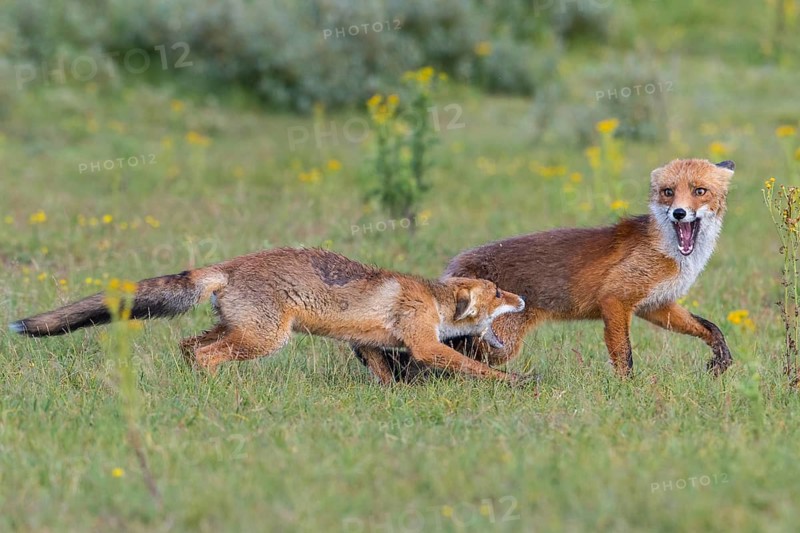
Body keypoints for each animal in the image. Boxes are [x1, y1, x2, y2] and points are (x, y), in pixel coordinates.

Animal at [9, 248, 527, 383]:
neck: (434, 301)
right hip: (265, 339)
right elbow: (475, 367)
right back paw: (214, 389)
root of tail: (230, 264)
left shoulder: (369, 341)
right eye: (499, 292)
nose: (523, 300)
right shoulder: (423, 343)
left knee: (189, 345)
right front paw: (516, 383)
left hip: (237, 329)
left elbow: (382, 370)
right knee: (207, 354)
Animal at [362, 159, 735, 379]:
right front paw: (628, 389)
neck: (672, 254)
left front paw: (721, 358)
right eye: (668, 193)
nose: (679, 213)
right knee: (432, 353)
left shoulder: (655, 304)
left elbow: (709, 327)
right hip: (501, 346)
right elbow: (624, 355)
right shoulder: (616, 300)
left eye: (700, 191)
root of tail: (456, 265)